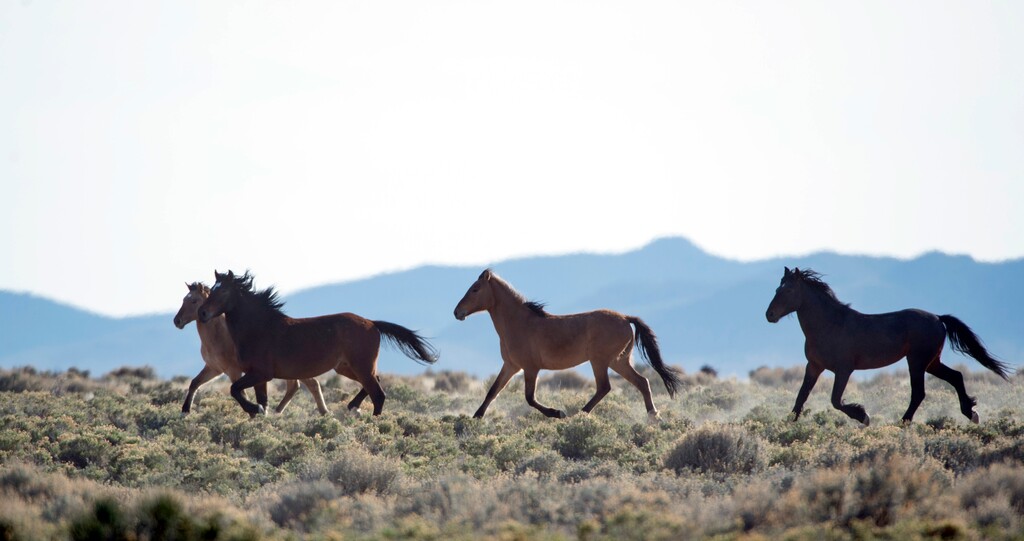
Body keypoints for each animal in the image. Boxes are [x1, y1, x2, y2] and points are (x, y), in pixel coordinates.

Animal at [173, 282, 329, 416]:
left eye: (194, 301)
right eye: (184, 299)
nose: (177, 321)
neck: (218, 337)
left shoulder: (233, 371)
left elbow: (241, 394)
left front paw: (255, 412)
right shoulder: (214, 368)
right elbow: (194, 383)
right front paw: (185, 411)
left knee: (311, 384)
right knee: (296, 385)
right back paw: (278, 412)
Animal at [197, 270, 439, 416]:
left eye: (223, 290)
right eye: (210, 289)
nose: (202, 313)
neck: (259, 328)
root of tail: (372, 323)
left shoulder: (261, 373)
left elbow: (235, 389)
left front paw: (254, 409)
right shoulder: (257, 376)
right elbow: (257, 398)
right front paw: (258, 412)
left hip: (360, 366)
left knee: (378, 394)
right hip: (347, 367)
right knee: (375, 384)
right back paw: (353, 407)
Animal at [453, 269, 682, 420]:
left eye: (475, 289)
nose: (457, 312)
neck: (519, 323)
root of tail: (626, 318)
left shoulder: (530, 368)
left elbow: (529, 397)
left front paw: (557, 413)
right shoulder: (511, 366)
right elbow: (493, 391)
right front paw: (476, 417)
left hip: (600, 361)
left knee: (605, 387)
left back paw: (577, 415)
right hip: (618, 361)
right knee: (642, 382)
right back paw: (653, 417)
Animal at [765, 267, 1013, 425]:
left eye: (788, 290)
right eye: (777, 288)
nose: (769, 315)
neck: (830, 325)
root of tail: (938, 318)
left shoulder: (844, 369)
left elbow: (836, 400)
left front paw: (863, 416)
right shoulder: (814, 366)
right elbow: (801, 397)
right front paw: (788, 425)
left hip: (917, 361)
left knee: (919, 393)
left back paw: (902, 423)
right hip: (932, 362)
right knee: (956, 377)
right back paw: (971, 413)